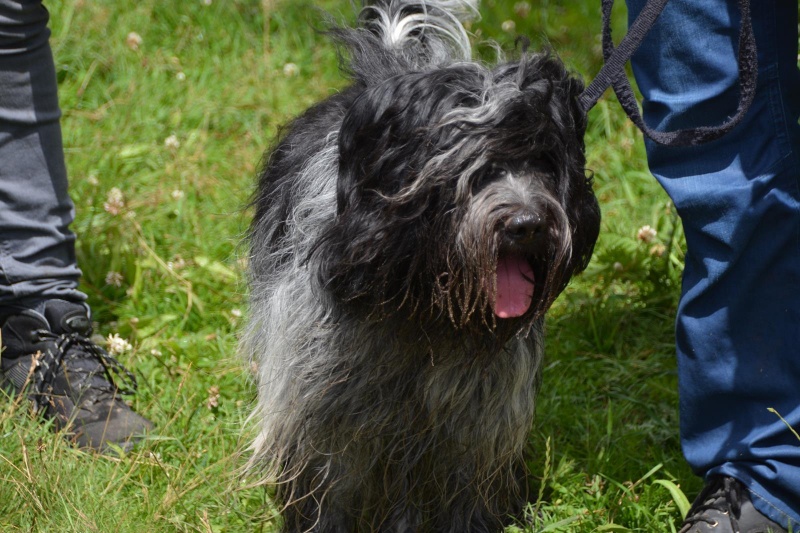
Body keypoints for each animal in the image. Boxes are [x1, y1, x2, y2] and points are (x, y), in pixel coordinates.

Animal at [243, 1, 600, 531]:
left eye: (544, 162)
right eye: (476, 170)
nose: (528, 224)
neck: (422, 301)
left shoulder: (476, 418)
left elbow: (460, 489)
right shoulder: (323, 401)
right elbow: (328, 482)